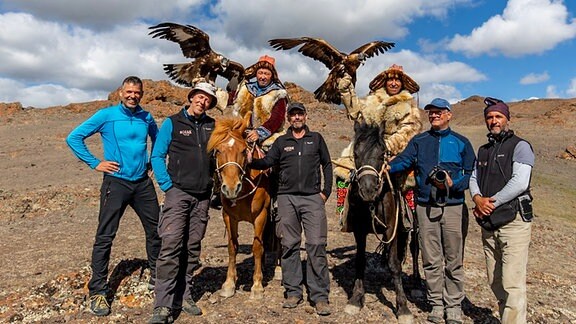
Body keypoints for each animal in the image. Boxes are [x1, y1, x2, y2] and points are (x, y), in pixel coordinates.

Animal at [208, 112, 274, 300]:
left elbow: (257, 247)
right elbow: (232, 247)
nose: (231, 188)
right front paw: (229, 284)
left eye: (244, 150)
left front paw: (257, 286)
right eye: (218, 150)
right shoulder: (229, 217)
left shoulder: (261, 216)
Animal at [344, 120, 412, 322]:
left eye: (382, 154)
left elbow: (394, 265)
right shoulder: (359, 230)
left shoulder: (391, 229)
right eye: (356, 154)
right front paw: (356, 299)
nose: (368, 190)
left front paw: (403, 308)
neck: (372, 204)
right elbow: (360, 261)